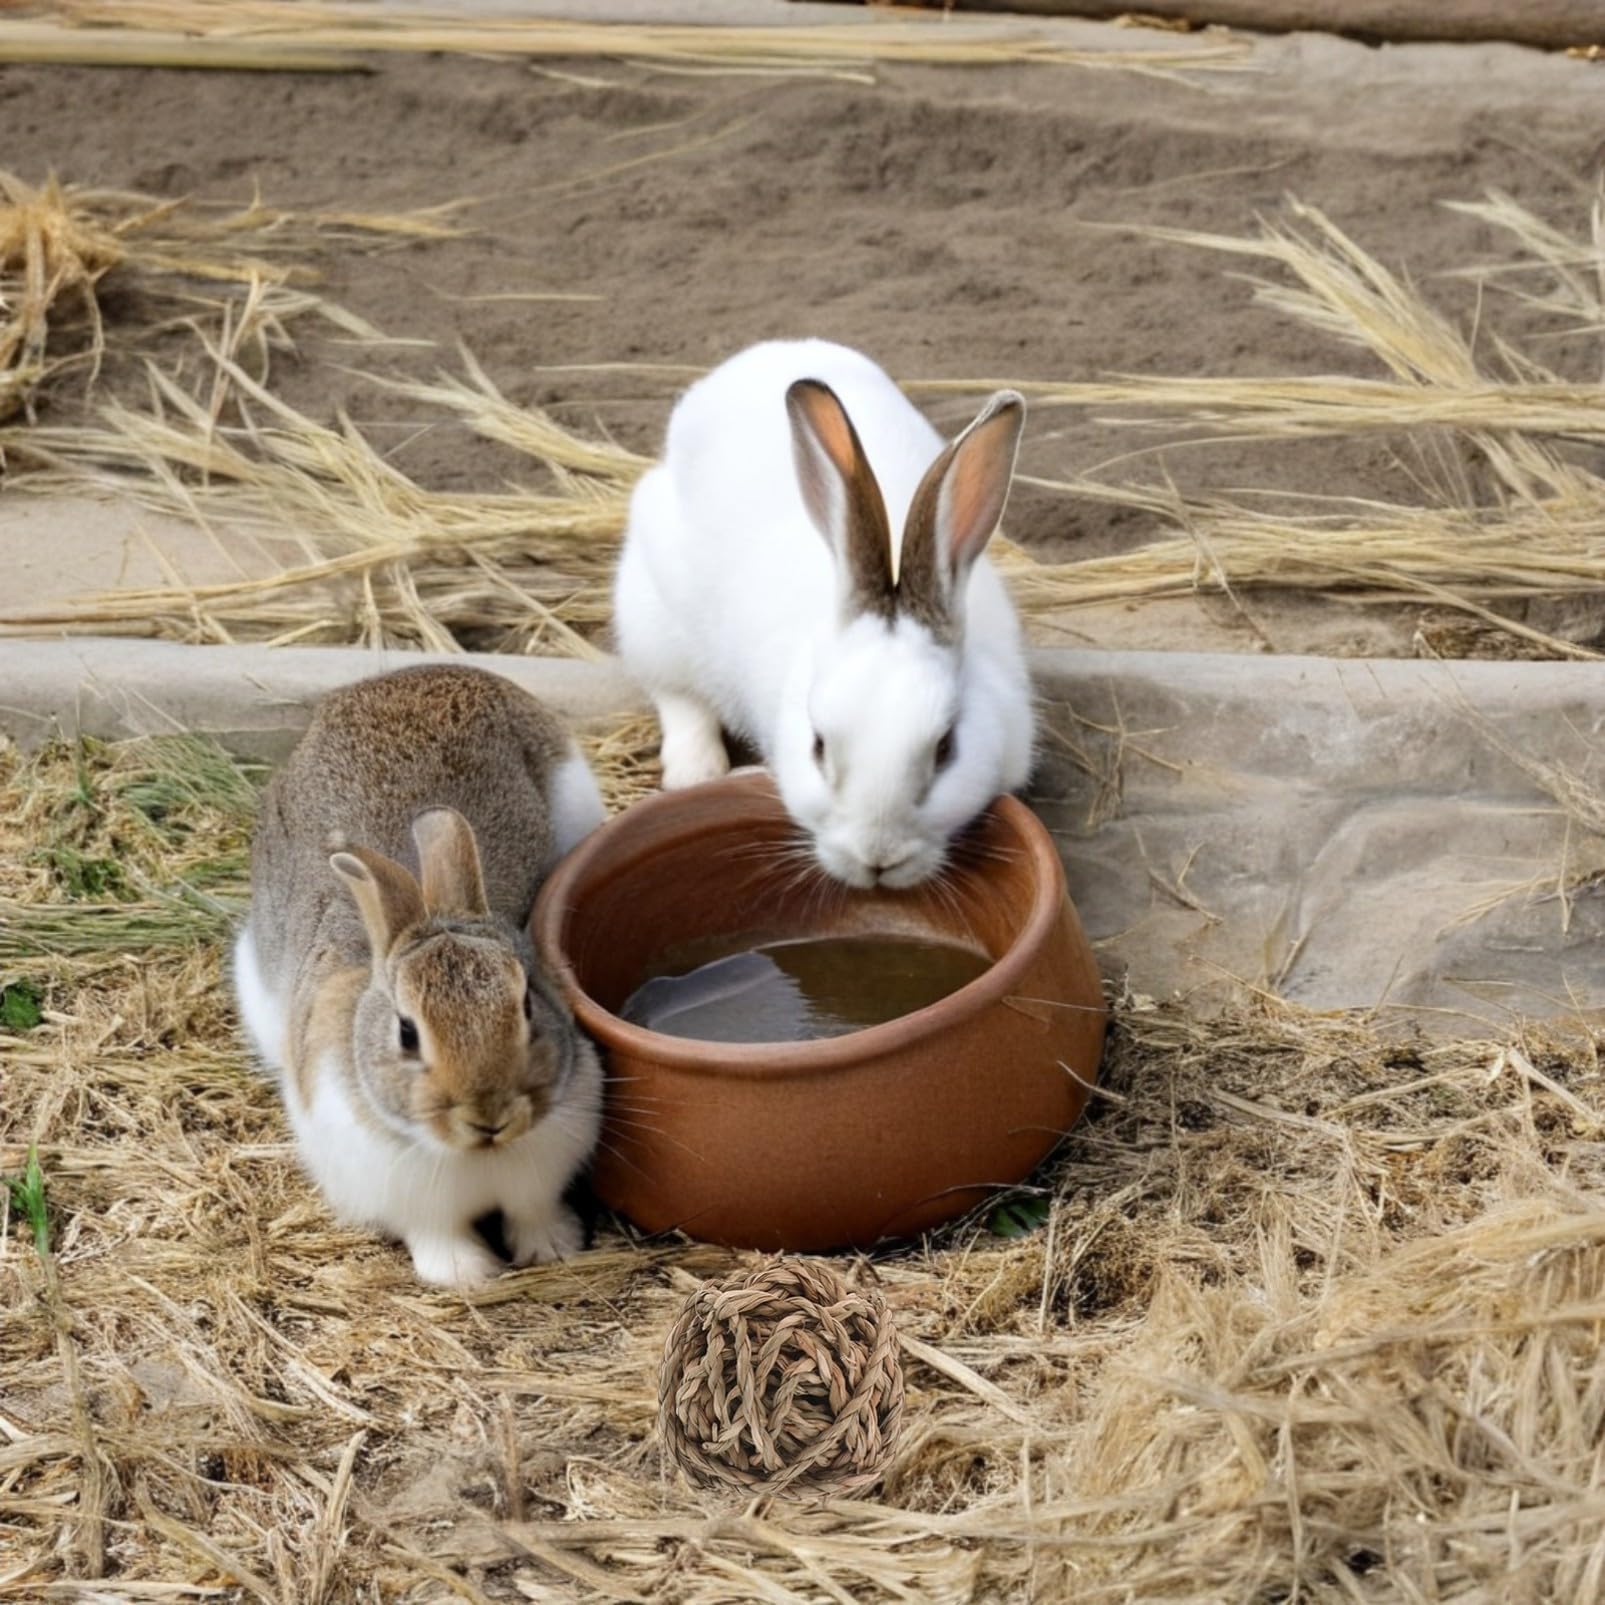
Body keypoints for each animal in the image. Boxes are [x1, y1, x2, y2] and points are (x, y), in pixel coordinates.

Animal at [232, 663, 607, 1288]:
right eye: (406, 1033)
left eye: (527, 1006)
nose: (489, 1117)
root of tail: (407, 676)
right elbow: (434, 1236)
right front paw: (464, 1273)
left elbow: (534, 1211)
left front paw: (551, 1247)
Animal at [614, 338, 1035, 890]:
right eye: (817, 746)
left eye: (946, 749)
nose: (877, 857)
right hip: (650, 618)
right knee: (677, 697)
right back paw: (698, 771)